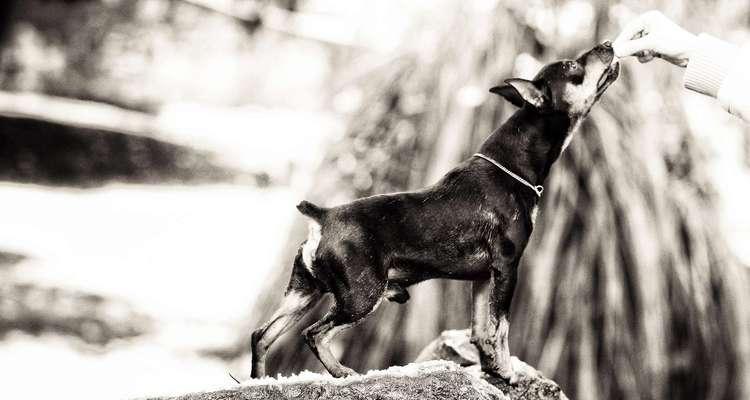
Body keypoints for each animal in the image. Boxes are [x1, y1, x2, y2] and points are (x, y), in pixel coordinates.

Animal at [253, 40, 624, 382]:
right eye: (572, 66)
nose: (607, 44)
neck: (512, 166)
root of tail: (322, 216)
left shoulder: (481, 278)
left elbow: (481, 331)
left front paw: (491, 368)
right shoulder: (507, 267)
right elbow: (501, 327)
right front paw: (506, 371)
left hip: (304, 292)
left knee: (262, 335)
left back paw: (258, 381)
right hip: (360, 297)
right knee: (315, 333)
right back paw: (341, 372)